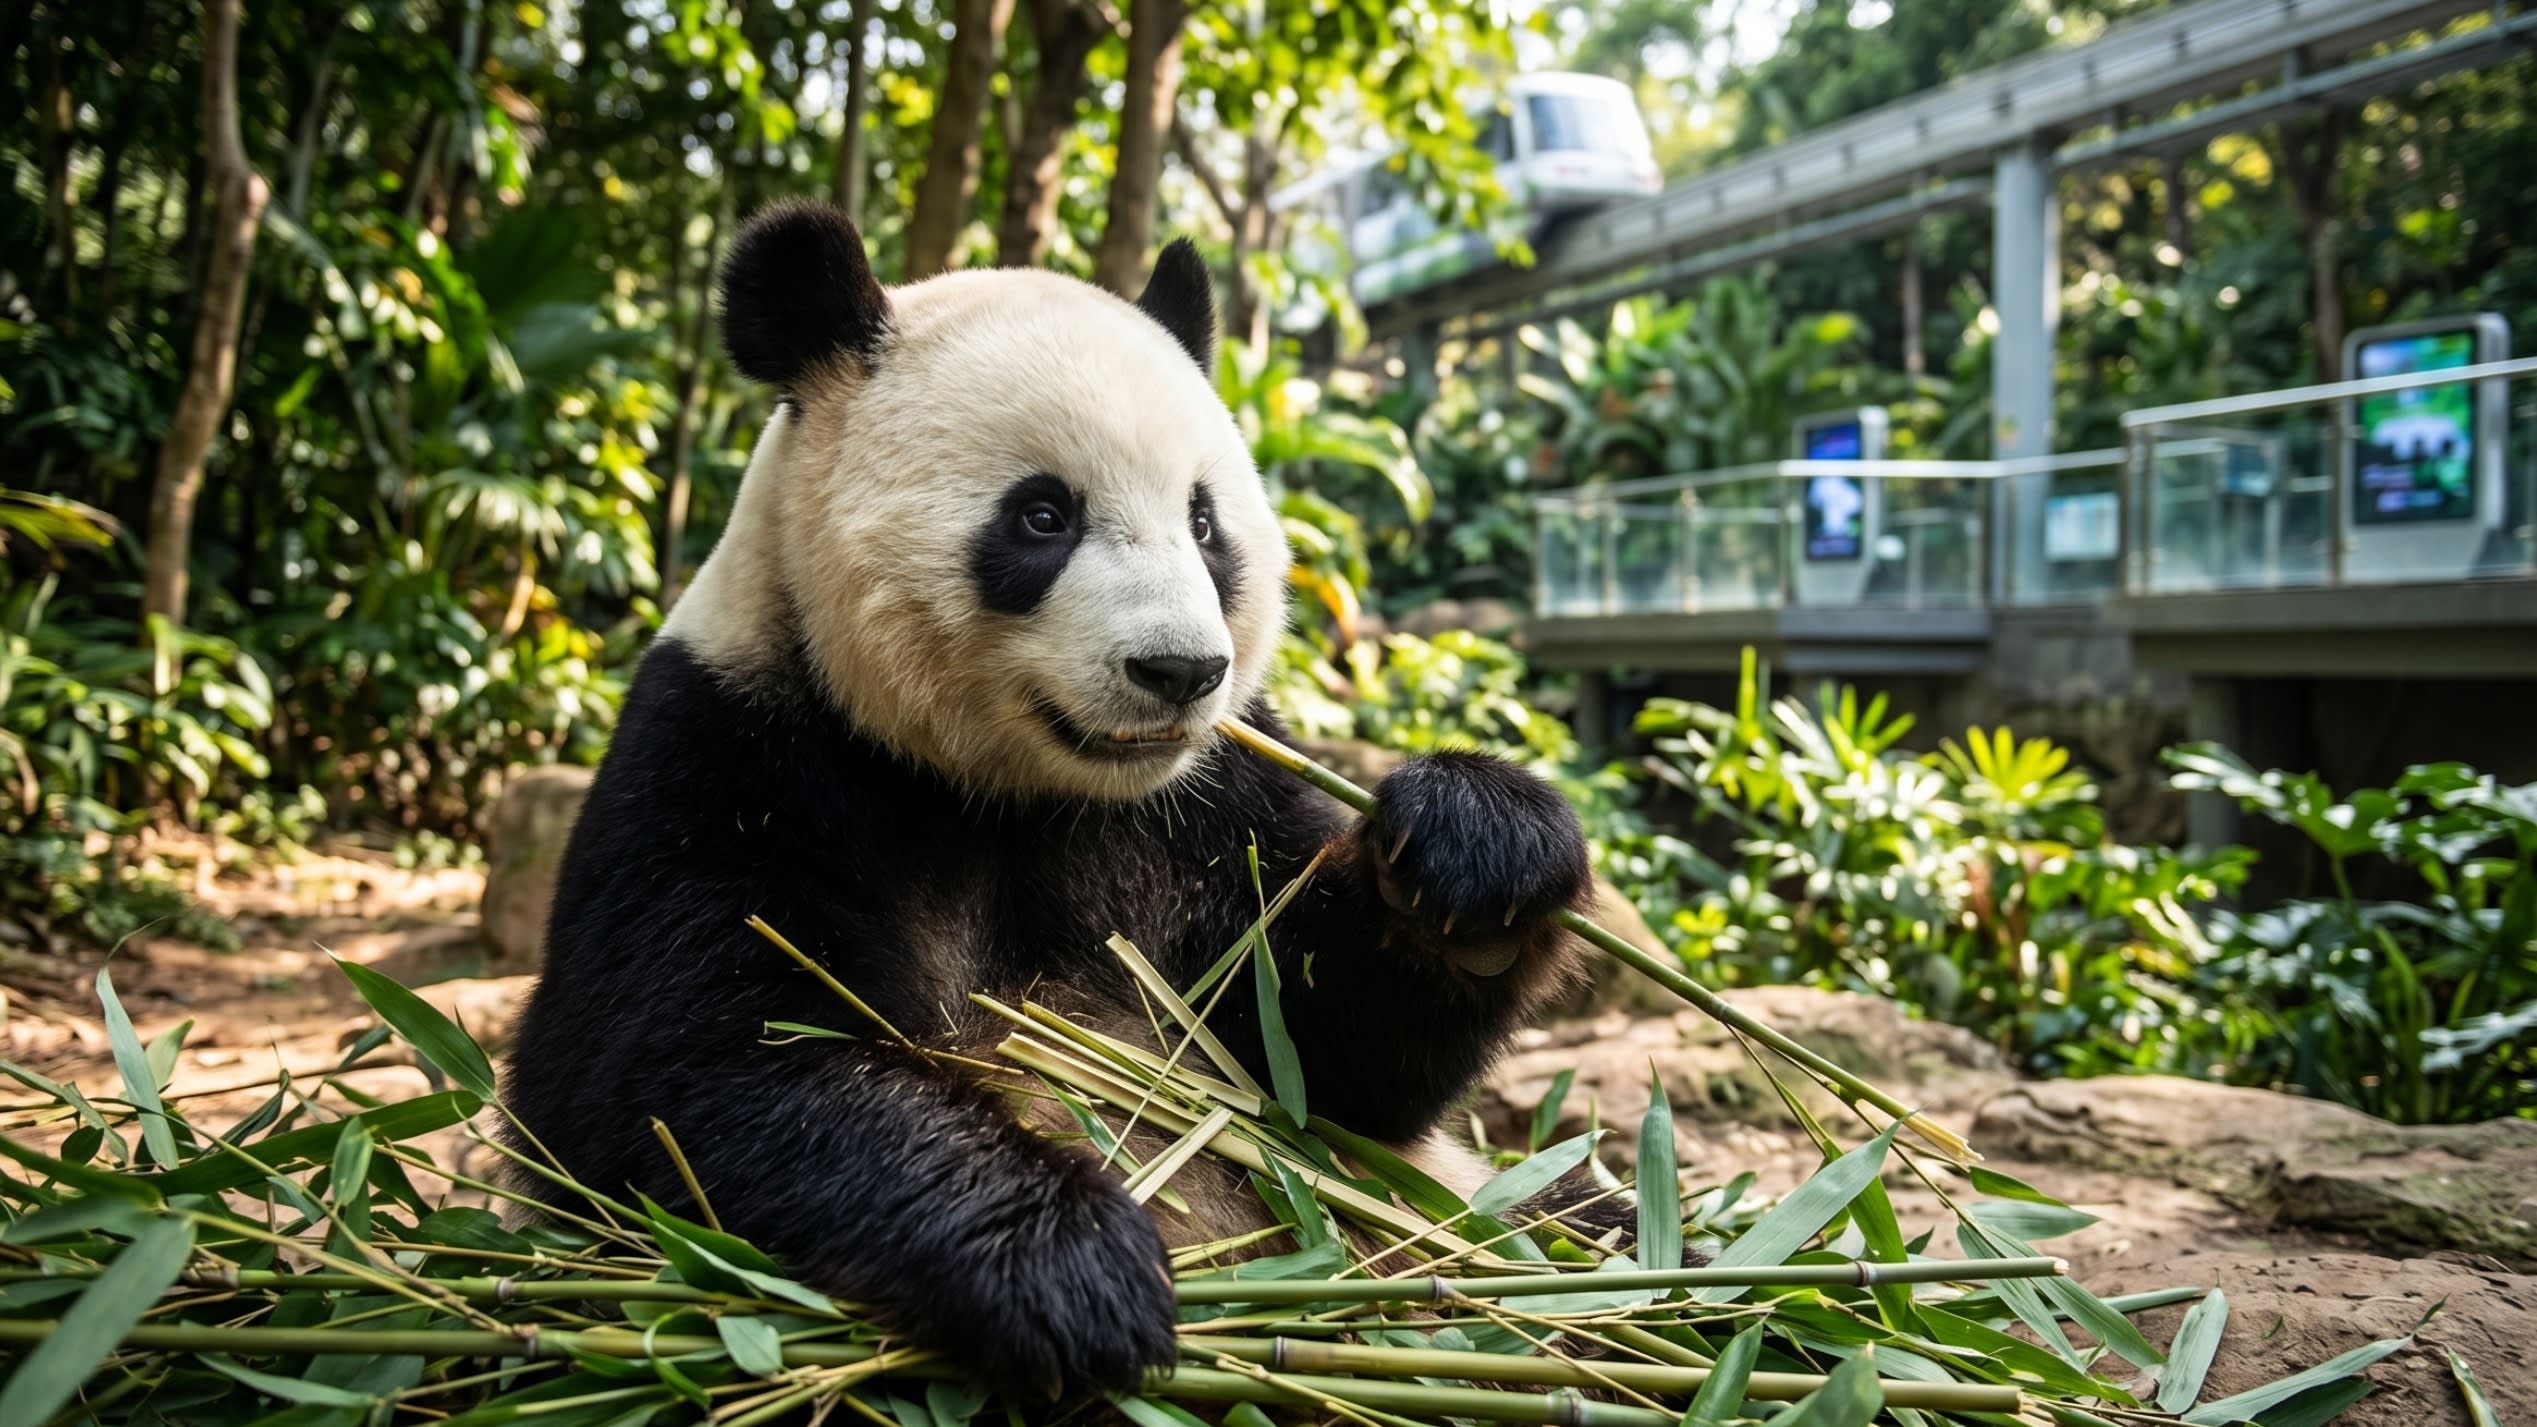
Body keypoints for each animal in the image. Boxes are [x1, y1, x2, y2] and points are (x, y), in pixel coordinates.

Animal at [500, 200, 1596, 1403]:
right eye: (1040, 516)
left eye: (1204, 523)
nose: (1179, 671)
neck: (1011, 791)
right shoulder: (726, 760)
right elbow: (672, 1073)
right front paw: (1070, 1260)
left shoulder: (1201, 806)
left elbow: (1325, 1061)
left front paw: (1475, 852)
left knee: (1578, 1204)